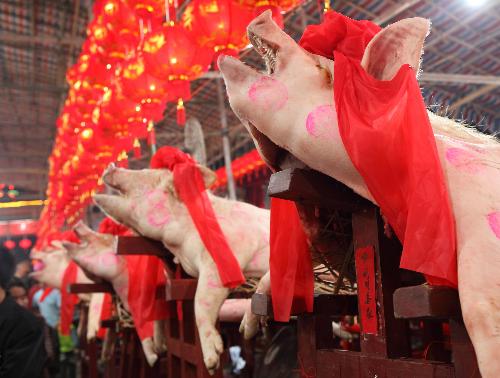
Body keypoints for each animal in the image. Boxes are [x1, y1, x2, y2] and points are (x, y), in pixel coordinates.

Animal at [93, 164, 270, 374]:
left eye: (147, 175)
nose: (111, 165)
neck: (180, 243)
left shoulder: (225, 259)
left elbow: (200, 300)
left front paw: (212, 362)